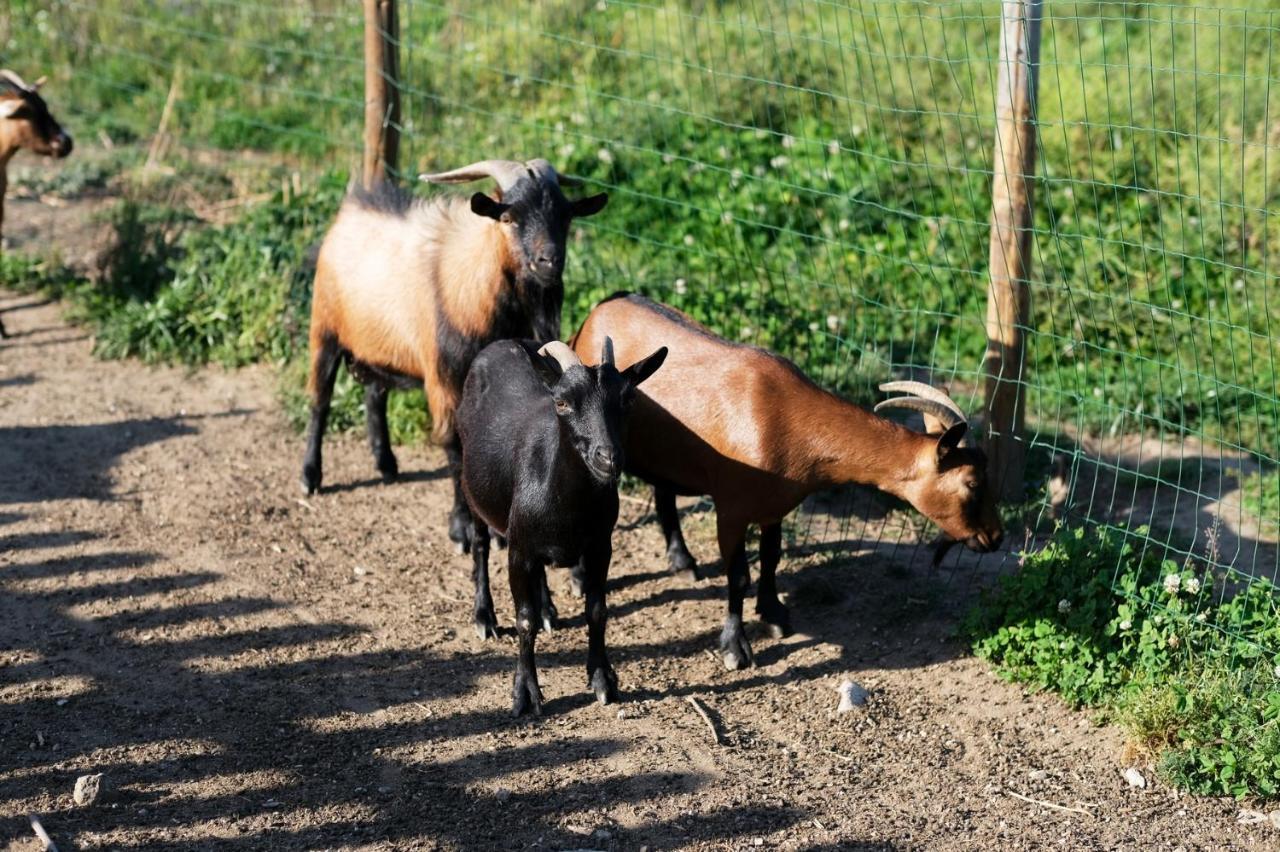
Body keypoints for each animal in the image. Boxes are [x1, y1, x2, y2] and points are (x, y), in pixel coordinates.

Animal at [302, 157, 606, 550]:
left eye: (566, 216)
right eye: (509, 217)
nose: (549, 261)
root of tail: (349, 210)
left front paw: (496, 529)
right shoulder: (444, 375)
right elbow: (454, 446)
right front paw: (462, 526)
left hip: (379, 347)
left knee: (374, 394)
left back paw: (386, 464)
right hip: (324, 329)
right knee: (320, 399)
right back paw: (311, 476)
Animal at [455, 335, 665, 711]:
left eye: (628, 399)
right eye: (562, 402)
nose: (608, 458)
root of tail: (502, 342)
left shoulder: (600, 546)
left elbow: (597, 611)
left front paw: (602, 679)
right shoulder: (519, 550)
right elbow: (524, 619)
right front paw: (525, 693)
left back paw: (548, 609)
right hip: (473, 490)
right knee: (480, 546)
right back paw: (484, 616)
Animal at [576, 291, 1003, 670]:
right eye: (971, 483)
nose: (995, 537)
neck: (782, 419)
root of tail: (602, 308)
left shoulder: (774, 506)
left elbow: (771, 557)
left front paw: (774, 613)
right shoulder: (731, 510)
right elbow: (738, 576)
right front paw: (736, 647)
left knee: (662, 488)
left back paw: (682, 561)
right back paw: (584, 577)